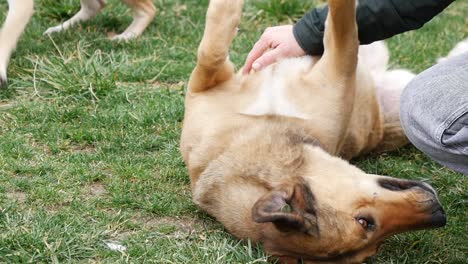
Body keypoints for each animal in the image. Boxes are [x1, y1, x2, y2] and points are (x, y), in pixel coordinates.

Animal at [181, 1, 448, 262]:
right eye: (366, 224)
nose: (439, 213)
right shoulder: (341, 65)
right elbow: (343, 26)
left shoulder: (204, 84)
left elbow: (211, 50)